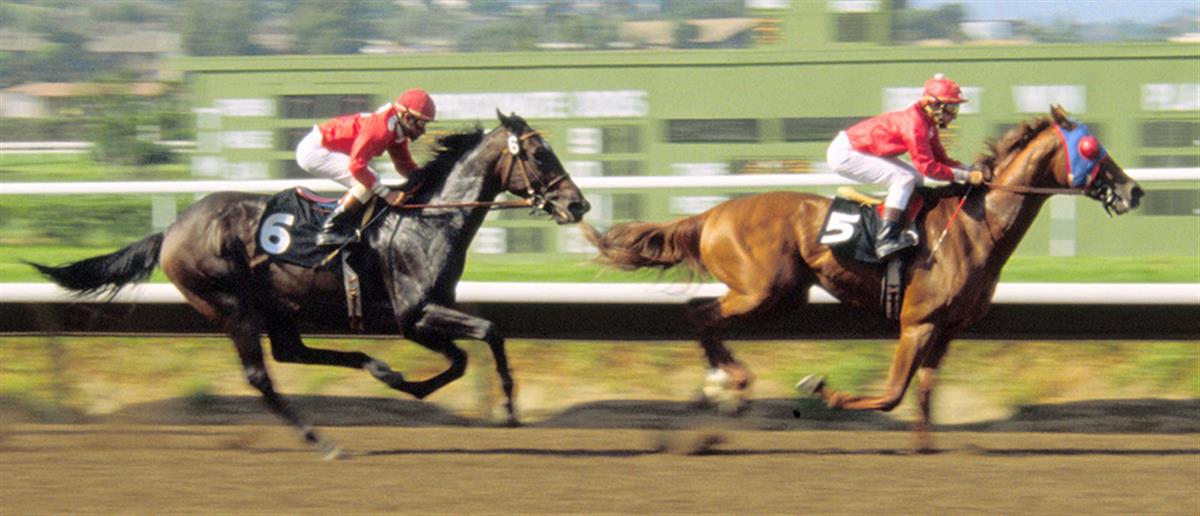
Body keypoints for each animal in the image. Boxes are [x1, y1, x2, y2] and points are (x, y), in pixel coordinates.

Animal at [30, 111, 590, 458]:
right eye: (540, 156)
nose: (578, 204)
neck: (427, 220)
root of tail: (169, 230)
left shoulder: (418, 320)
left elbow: (460, 360)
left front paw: (408, 384)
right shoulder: (414, 314)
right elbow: (489, 335)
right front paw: (509, 411)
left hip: (276, 306)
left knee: (292, 352)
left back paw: (374, 369)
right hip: (231, 306)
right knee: (261, 376)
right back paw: (321, 439)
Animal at [583, 106, 1142, 451]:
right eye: (1091, 148)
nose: (1133, 191)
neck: (972, 226)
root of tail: (710, 215)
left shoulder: (949, 328)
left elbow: (925, 391)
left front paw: (925, 448)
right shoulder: (917, 322)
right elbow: (893, 392)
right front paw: (823, 390)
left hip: (785, 295)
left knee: (702, 318)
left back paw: (715, 397)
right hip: (761, 291)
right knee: (700, 315)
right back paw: (729, 385)